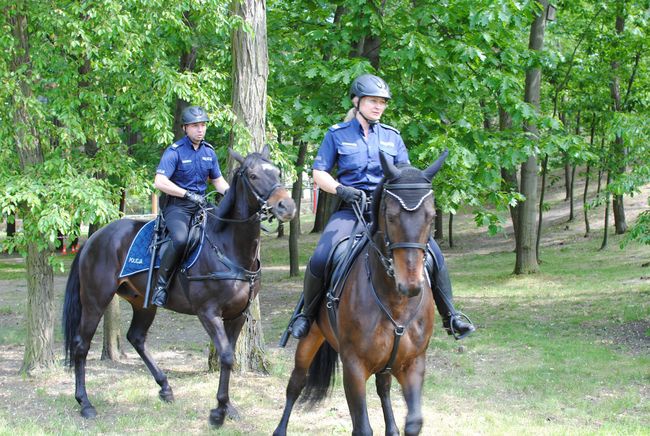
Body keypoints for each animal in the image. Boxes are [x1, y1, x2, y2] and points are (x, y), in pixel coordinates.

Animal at [62, 146, 294, 426]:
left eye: (277, 172)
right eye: (253, 175)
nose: (287, 206)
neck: (227, 245)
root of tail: (94, 238)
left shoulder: (238, 315)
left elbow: (229, 358)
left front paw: (228, 407)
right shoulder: (208, 313)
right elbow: (226, 356)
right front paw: (218, 411)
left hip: (143, 303)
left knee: (136, 337)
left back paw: (165, 387)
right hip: (95, 301)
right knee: (81, 345)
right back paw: (85, 403)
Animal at [270, 152, 448, 434]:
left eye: (430, 216)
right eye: (391, 216)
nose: (410, 285)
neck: (395, 302)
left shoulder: (413, 363)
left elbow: (414, 422)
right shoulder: (353, 367)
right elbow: (362, 427)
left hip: (386, 364)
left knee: (383, 389)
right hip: (310, 338)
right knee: (296, 383)